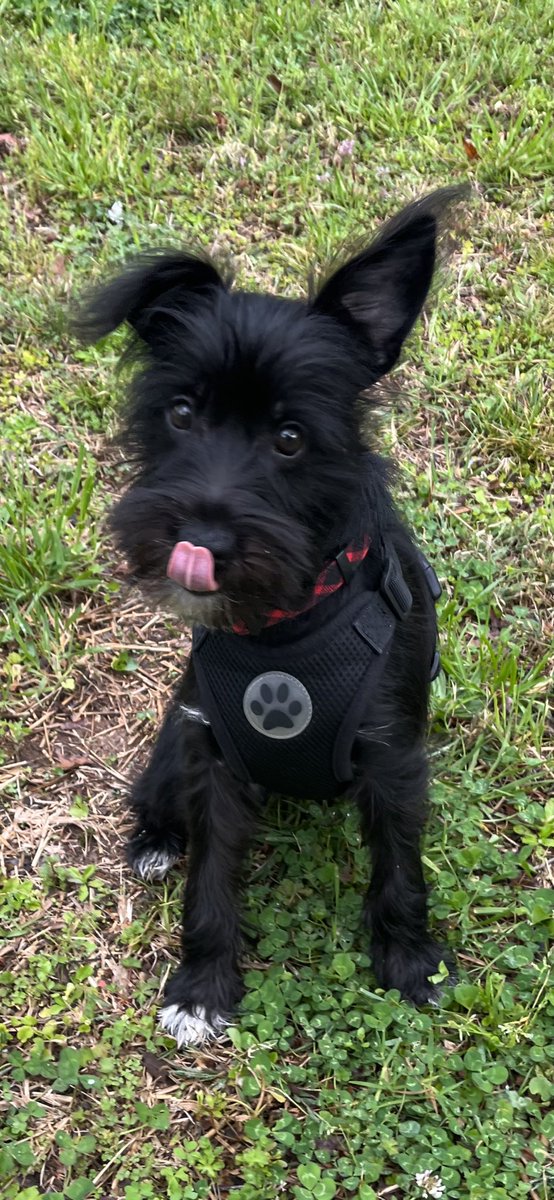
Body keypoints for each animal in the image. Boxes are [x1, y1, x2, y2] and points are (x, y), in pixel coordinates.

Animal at [80, 187, 462, 1041]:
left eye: (290, 437)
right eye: (181, 414)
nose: (200, 538)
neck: (286, 627)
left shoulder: (391, 756)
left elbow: (399, 867)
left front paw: (408, 961)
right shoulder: (212, 756)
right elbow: (210, 878)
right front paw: (201, 986)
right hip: (172, 741)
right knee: (158, 801)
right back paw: (155, 841)